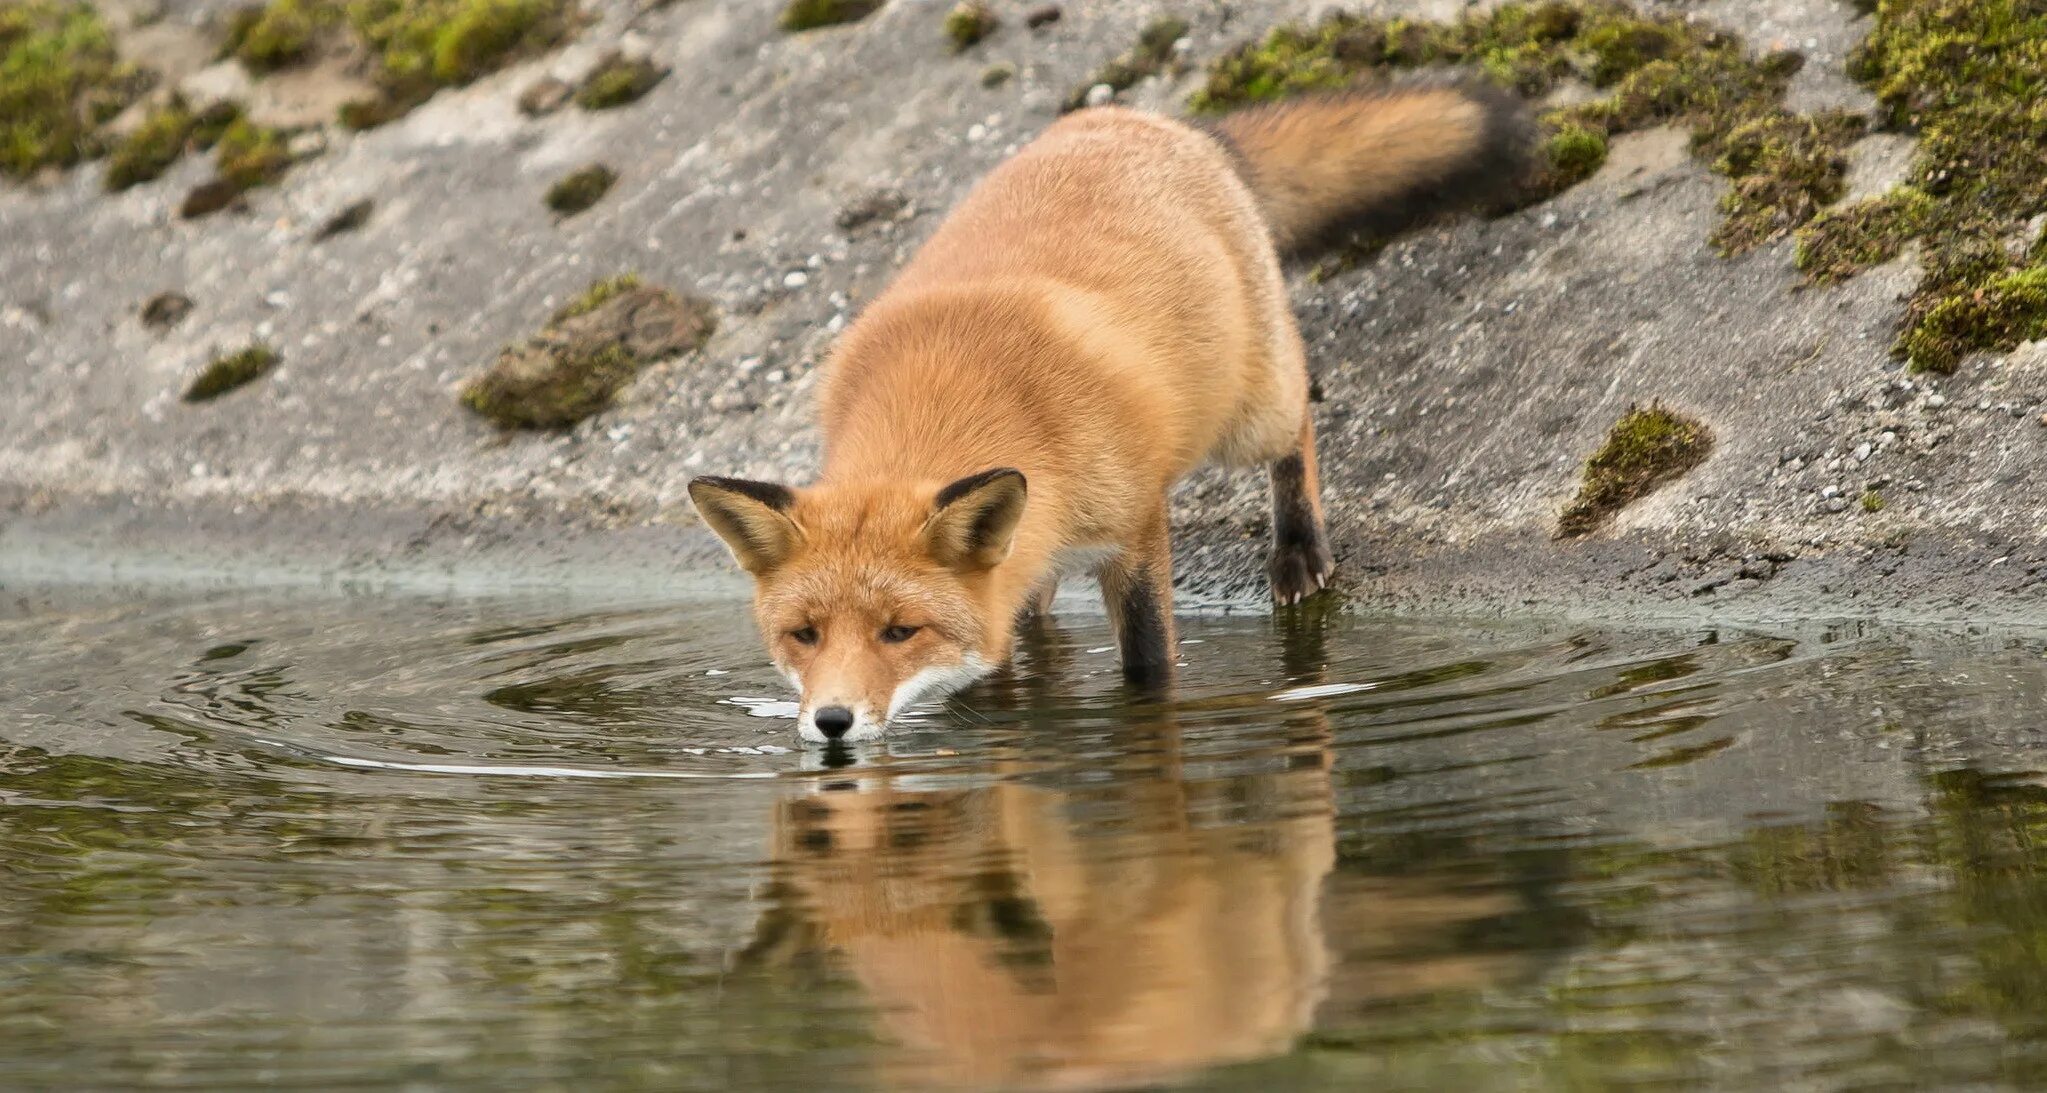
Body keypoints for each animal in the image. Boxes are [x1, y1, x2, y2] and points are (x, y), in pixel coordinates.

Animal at [690, 78, 1533, 743]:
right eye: (802, 634)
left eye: (900, 631)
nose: (831, 723)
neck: (946, 392)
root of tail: (1153, 119)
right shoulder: (1006, 577)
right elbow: (996, 662)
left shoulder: (1134, 525)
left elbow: (1149, 658)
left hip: (1248, 414)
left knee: (1298, 419)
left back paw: (1298, 548)